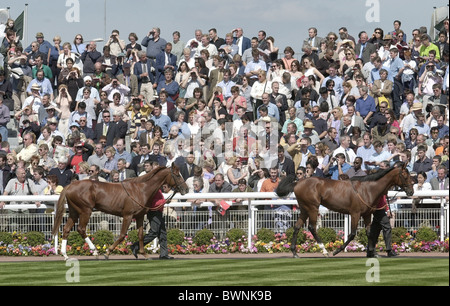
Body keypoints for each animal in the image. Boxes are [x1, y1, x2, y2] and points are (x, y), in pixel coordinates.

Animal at [51, 164, 188, 260]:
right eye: (177, 175)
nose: (186, 189)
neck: (140, 190)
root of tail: (70, 186)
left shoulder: (139, 216)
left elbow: (140, 235)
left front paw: (143, 254)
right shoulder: (128, 216)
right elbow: (122, 235)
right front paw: (107, 252)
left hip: (74, 212)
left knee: (66, 229)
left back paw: (65, 255)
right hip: (85, 211)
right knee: (81, 229)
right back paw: (94, 250)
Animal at [276, 164, 414, 256]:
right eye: (405, 175)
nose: (411, 191)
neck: (367, 189)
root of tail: (297, 183)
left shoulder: (367, 214)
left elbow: (370, 233)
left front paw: (371, 252)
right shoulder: (355, 213)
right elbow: (352, 234)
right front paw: (337, 250)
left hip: (304, 209)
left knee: (297, 227)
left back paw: (294, 252)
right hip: (312, 208)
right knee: (311, 227)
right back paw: (324, 250)